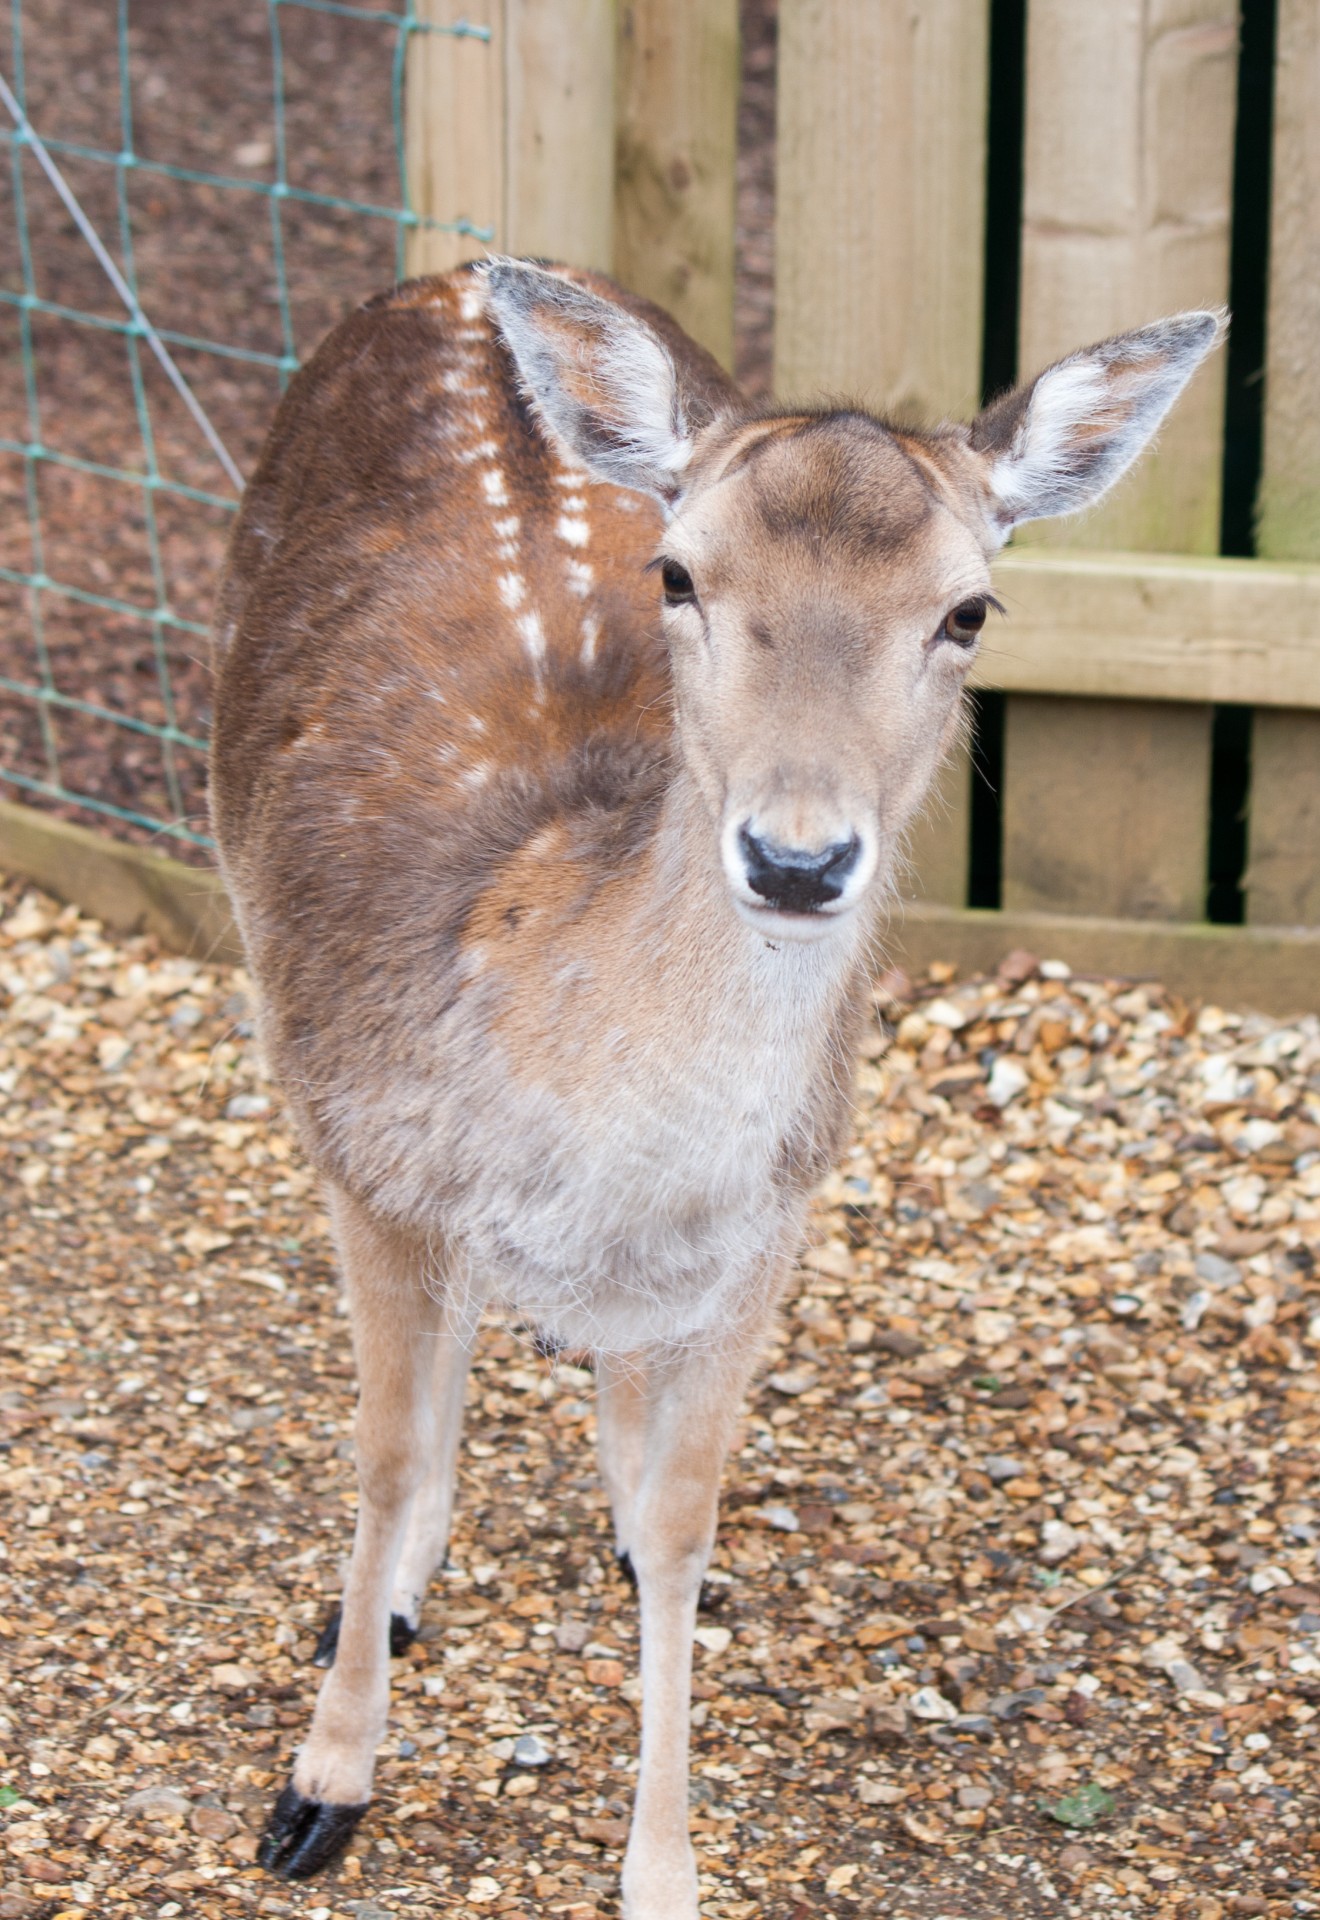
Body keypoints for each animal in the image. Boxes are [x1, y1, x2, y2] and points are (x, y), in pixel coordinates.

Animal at [209, 259, 1227, 1920]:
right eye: (677, 576)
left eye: (968, 608)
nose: (798, 859)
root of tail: (446, 274)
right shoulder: (367, 1148)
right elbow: (383, 1447)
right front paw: (321, 1784)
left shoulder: (772, 1221)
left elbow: (682, 1514)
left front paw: (664, 1871)